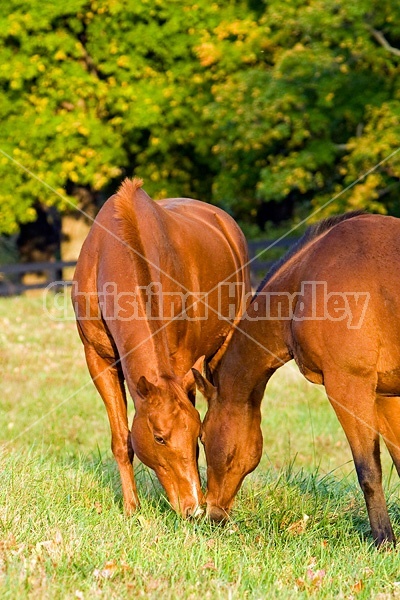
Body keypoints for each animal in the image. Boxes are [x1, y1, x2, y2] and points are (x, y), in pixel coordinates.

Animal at [70, 176, 248, 516]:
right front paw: (131, 508)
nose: (193, 508)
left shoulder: (182, 363)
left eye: (197, 434)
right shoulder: (98, 359)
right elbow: (121, 439)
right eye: (159, 438)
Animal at [195, 213, 400, 548]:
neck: (306, 282)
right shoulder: (385, 395)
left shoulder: (349, 388)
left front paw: (384, 541)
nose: (213, 515)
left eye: (201, 437)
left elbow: (369, 471)